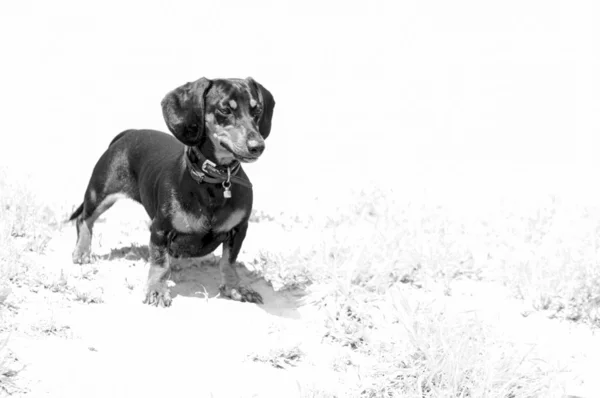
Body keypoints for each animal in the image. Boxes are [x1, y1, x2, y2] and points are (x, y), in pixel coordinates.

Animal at [69, 78, 276, 308]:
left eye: (257, 109)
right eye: (225, 109)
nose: (258, 146)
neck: (214, 182)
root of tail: (129, 132)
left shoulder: (239, 229)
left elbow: (229, 261)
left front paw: (235, 288)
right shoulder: (160, 229)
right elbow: (160, 263)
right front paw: (157, 290)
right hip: (100, 193)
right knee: (84, 219)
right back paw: (82, 251)